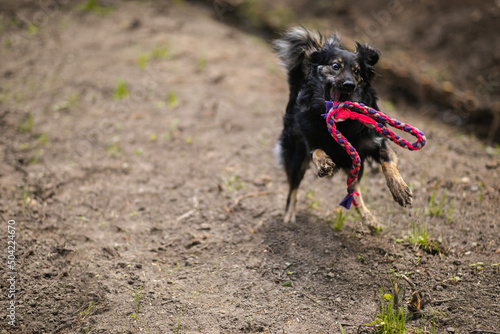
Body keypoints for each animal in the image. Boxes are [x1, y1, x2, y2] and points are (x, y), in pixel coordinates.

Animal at [276, 27, 412, 227]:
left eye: (356, 71)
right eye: (335, 66)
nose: (349, 85)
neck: (343, 125)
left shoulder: (374, 141)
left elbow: (388, 161)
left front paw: (399, 188)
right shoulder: (310, 138)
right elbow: (317, 150)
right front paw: (324, 162)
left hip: (356, 164)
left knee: (354, 191)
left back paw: (368, 217)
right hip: (295, 156)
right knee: (292, 189)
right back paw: (289, 215)